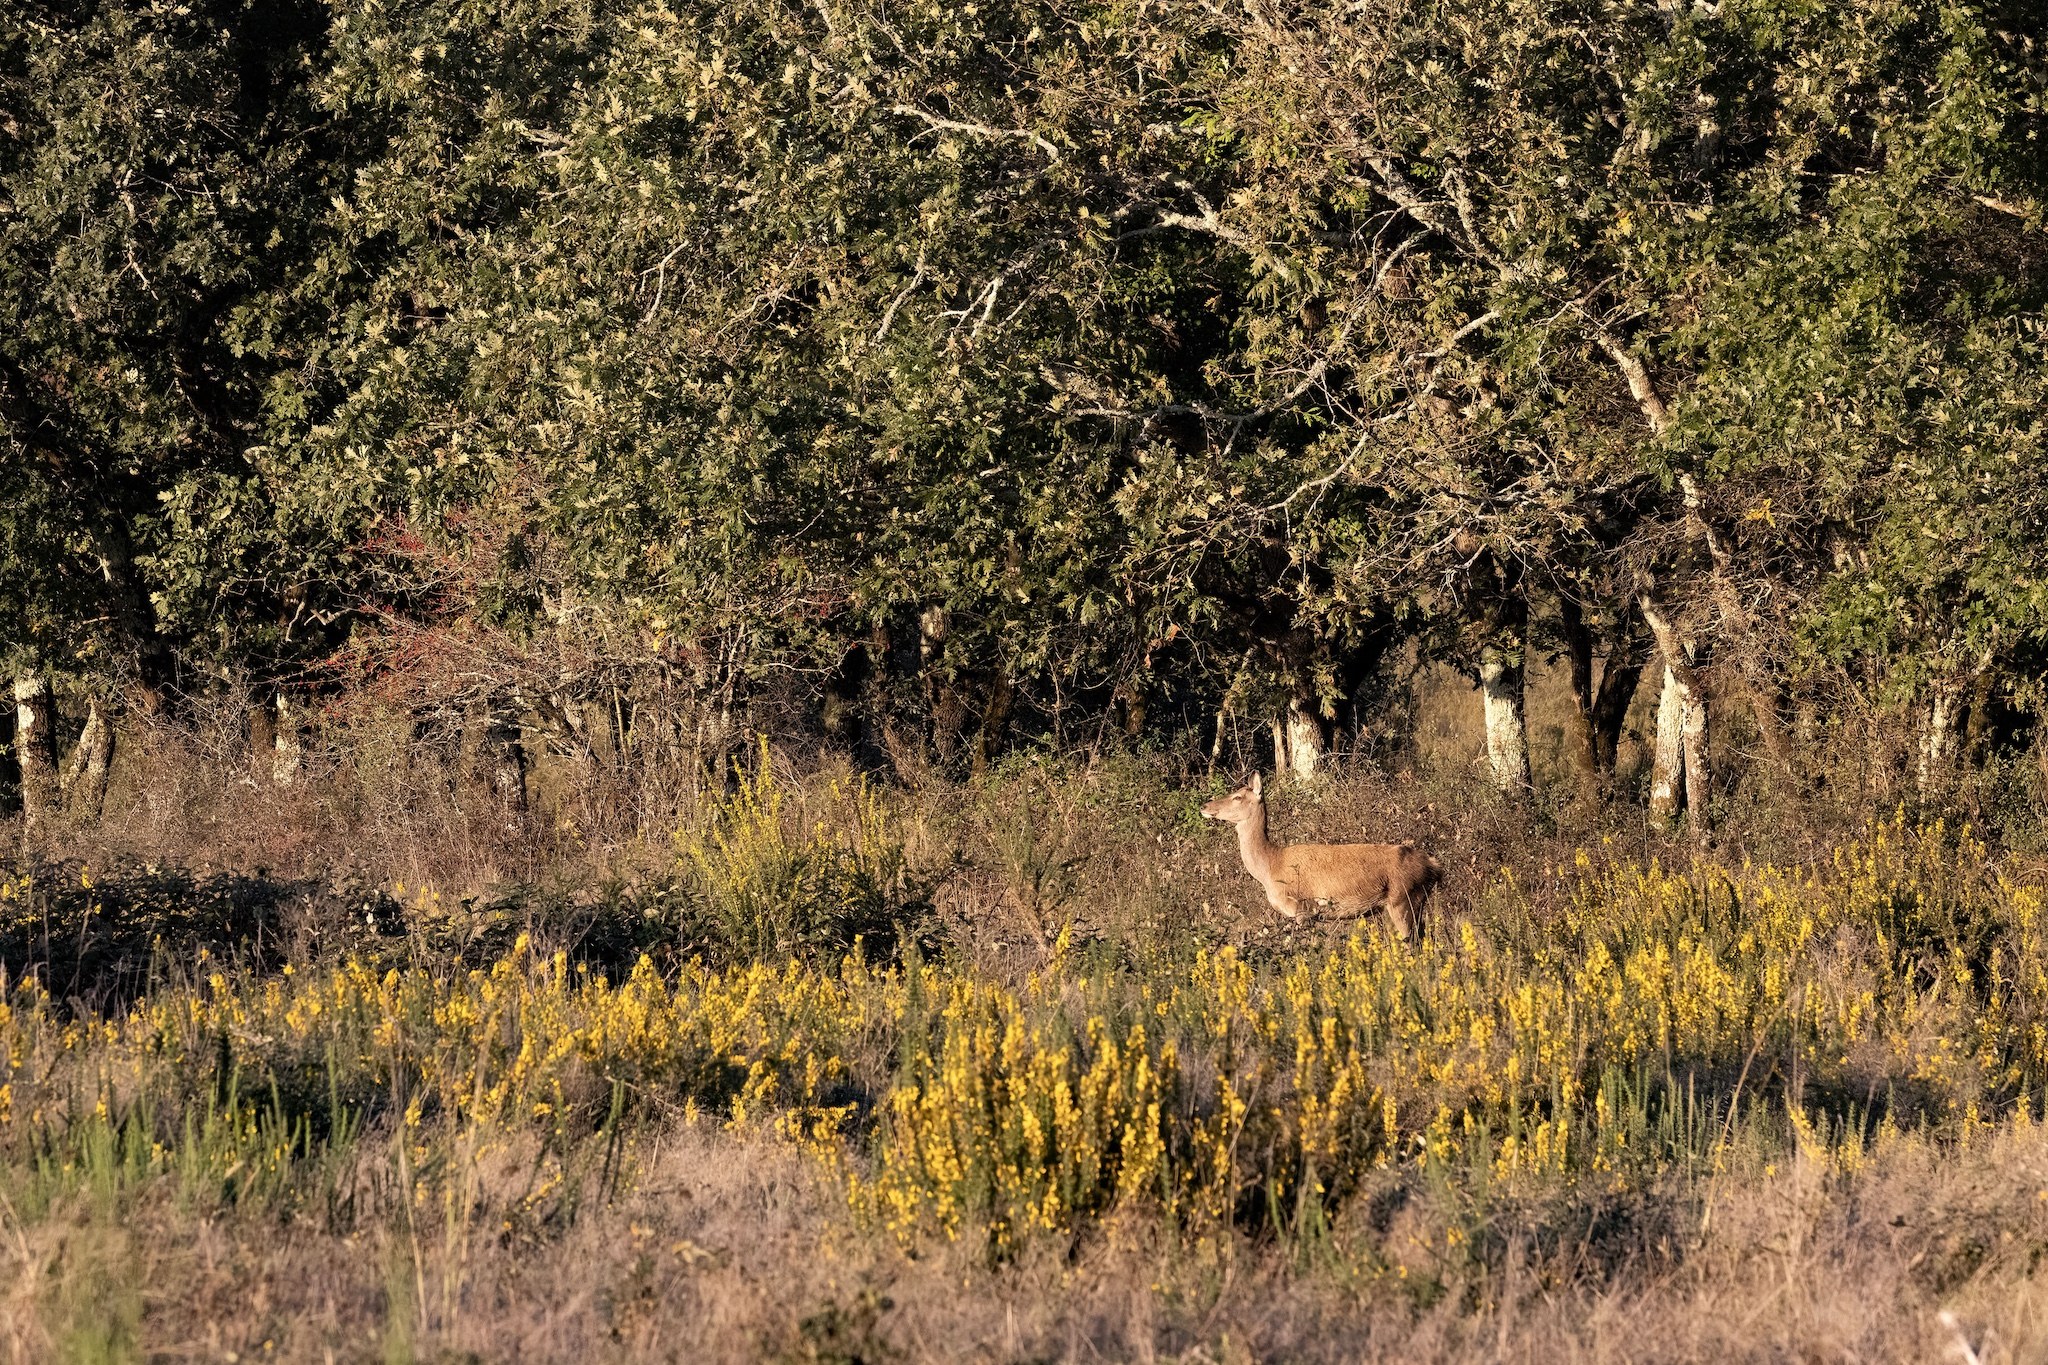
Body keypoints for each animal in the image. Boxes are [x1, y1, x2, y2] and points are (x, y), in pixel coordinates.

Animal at [1200, 773, 1441, 938]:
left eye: (1237, 797)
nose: (1205, 805)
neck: (1270, 866)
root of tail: (1432, 865)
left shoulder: (1302, 907)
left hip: (1403, 898)